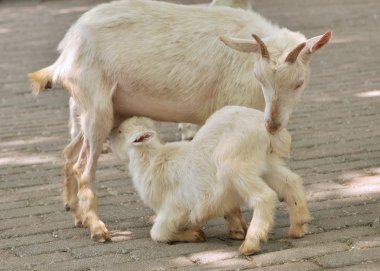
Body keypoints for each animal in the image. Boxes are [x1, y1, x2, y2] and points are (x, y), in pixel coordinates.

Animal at [28, 0, 332, 242]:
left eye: (299, 82)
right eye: (259, 77)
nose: (272, 124)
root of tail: (66, 51)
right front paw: (237, 226)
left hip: (107, 110)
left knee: (69, 153)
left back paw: (76, 213)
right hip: (96, 105)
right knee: (83, 166)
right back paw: (97, 228)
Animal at [109, 106, 308, 258]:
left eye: (119, 131)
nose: (109, 138)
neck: (152, 160)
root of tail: (267, 128)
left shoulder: (173, 208)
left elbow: (158, 233)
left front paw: (194, 234)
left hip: (234, 164)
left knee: (265, 196)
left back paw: (250, 244)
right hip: (266, 163)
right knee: (291, 182)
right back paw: (298, 227)